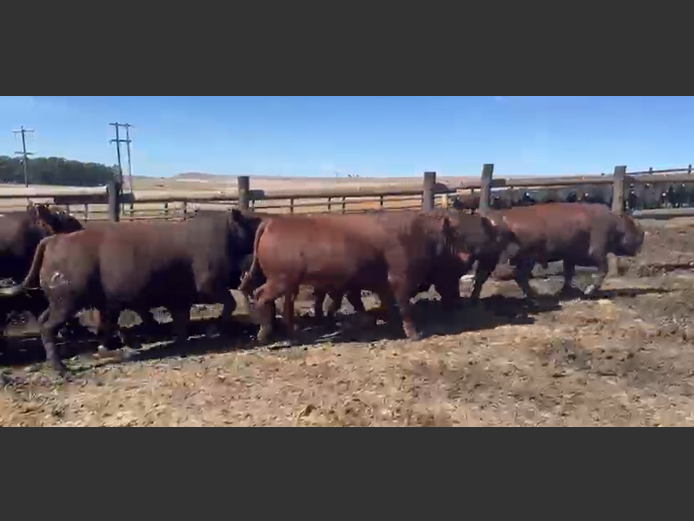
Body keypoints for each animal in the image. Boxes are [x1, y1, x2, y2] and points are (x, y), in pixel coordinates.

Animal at [0, 209, 261, 374]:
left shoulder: (180, 297)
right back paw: (60, 368)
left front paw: (181, 340)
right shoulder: (208, 286)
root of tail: (53, 241)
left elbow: (181, 318)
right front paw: (214, 329)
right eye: (253, 223)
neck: (227, 234)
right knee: (48, 326)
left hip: (61, 302)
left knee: (47, 319)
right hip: (67, 303)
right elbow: (228, 304)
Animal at [487, 203, 644, 299]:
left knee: (518, 276)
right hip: (525, 258)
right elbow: (602, 269)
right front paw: (588, 291)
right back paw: (535, 295)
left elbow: (569, 271)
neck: (614, 224)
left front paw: (565, 291)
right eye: (631, 224)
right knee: (517, 275)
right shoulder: (597, 249)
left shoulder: (570, 256)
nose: (642, 235)